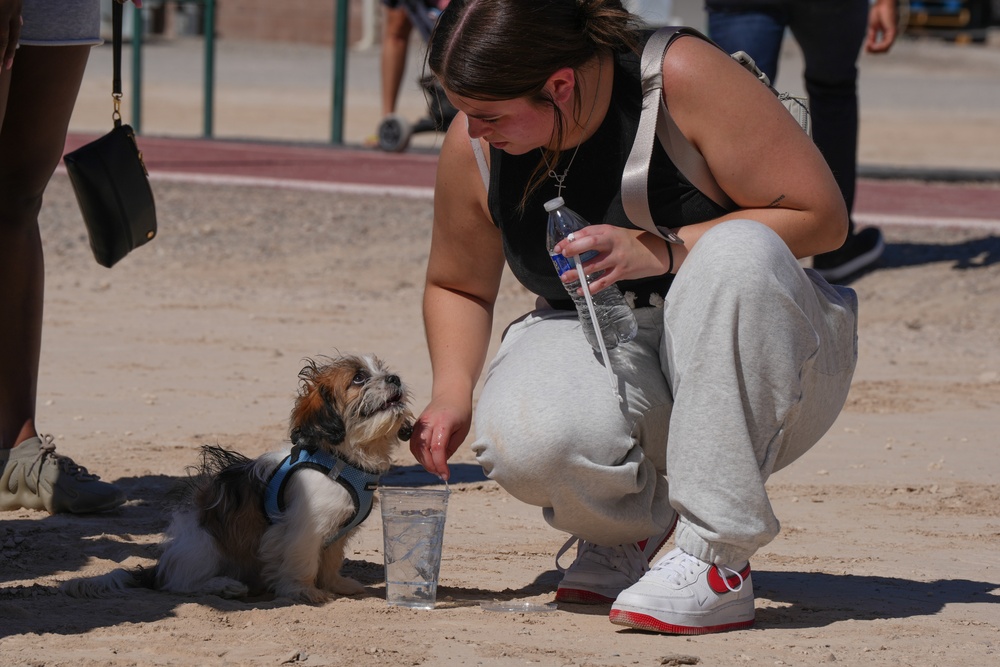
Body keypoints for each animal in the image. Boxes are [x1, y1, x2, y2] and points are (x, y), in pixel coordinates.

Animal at [60, 358, 412, 604]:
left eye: (382, 369)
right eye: (358, 378)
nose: (395, 377)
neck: (341, 460)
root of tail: (159, 566)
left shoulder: (336, 533)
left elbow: (330, 562)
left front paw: (337, 584)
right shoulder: (304, 529)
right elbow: (303, 562)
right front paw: (303, 591)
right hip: (204, 545)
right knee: (178, 584)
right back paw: (222, 585)